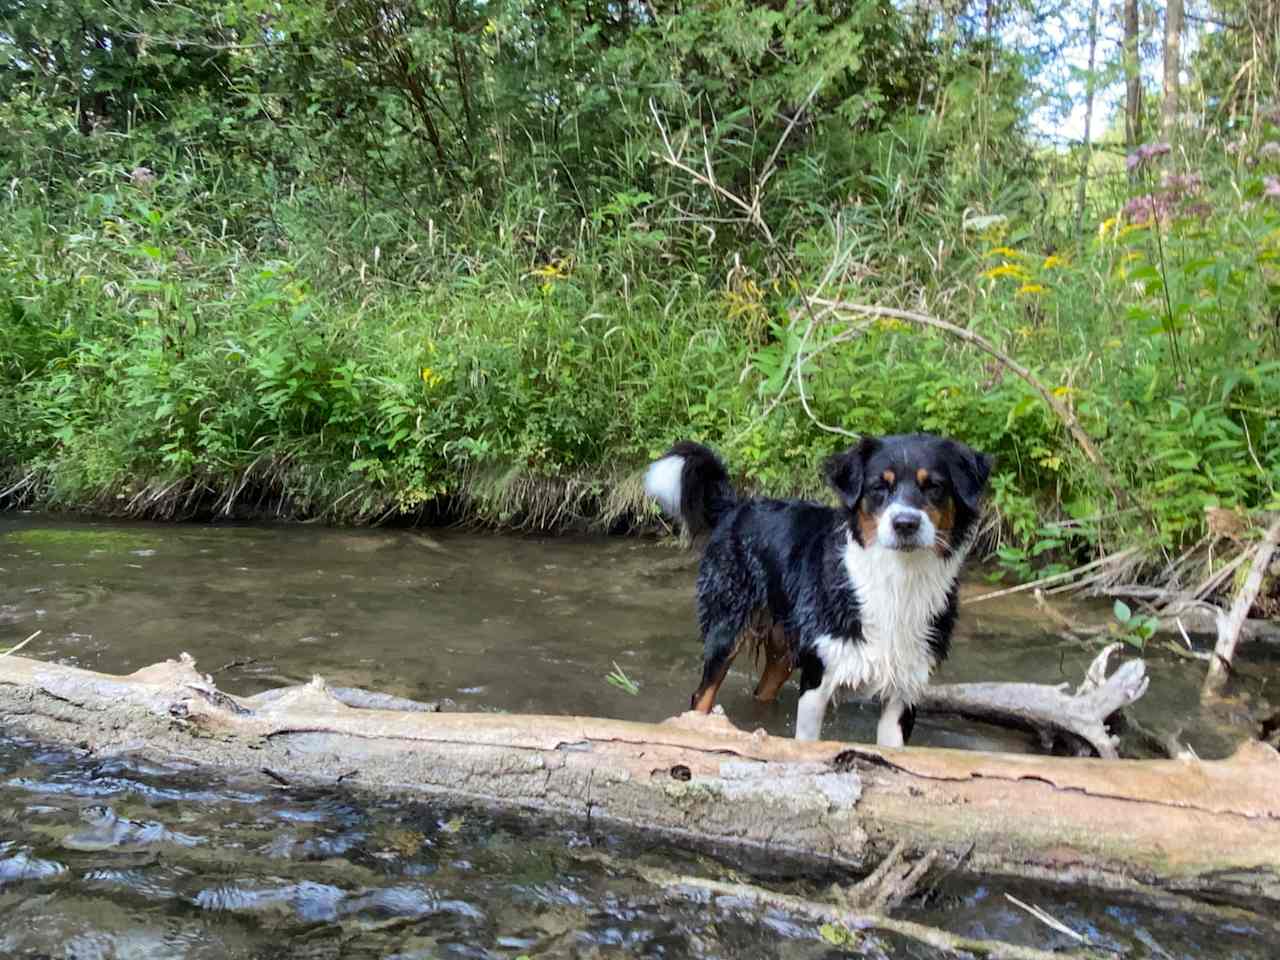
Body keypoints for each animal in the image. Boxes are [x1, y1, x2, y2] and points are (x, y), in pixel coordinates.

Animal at [645, 435, 993, 742]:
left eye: (933, 486)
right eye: (879, 487)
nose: (905, 524)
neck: (897, 580)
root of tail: (736, 506)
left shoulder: (904, 689)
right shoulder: (818, 674)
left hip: (783, 653)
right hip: (726, 629)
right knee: (701, 696)